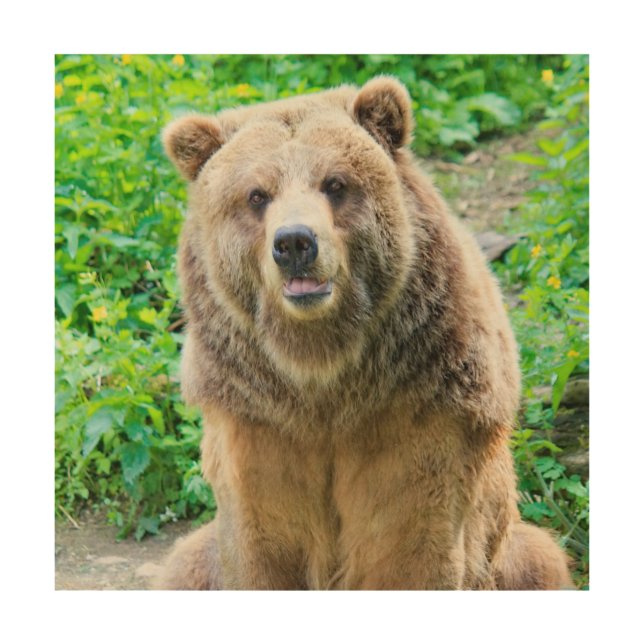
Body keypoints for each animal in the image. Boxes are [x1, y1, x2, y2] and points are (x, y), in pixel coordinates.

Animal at [154, 77, 573, 590]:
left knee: (540, 558)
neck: (323, 368)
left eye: (335, 183)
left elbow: (409, 538)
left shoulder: (421, 399)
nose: (295, 243)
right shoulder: (256, 415)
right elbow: (262, 540)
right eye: (256, 194)